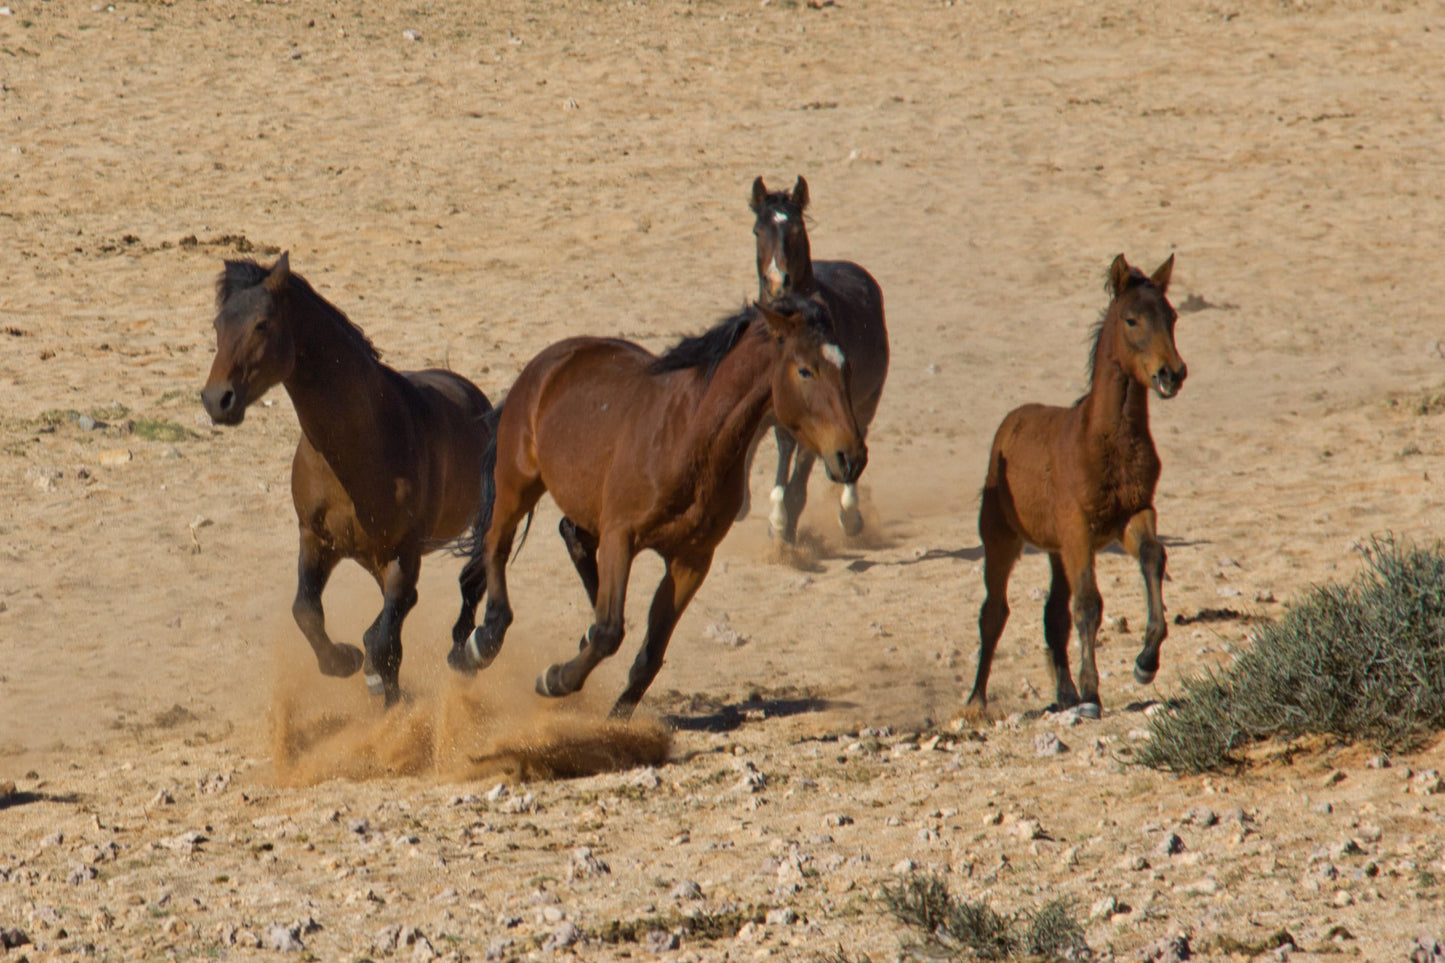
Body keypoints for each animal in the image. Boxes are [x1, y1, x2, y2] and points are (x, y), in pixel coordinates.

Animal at [197, 253, 494, 705]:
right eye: (218, 325)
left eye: (262, 324)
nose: (217, 400)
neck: (356, 450)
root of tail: (474, 395)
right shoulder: (316, 538)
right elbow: (306, 611)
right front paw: (343, 661)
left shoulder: (402, 552)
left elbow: (385, 642)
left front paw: (384, 691)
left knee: (469, 584)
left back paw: (463, 657)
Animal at [445, 296, 861, 717]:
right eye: (805, 370)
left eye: (846, 367)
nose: (851, 457)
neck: (690, 440)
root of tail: (546, 362)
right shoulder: (621, 536)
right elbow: (610, 632)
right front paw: (554, 679)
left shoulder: (692, 560)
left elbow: (649, 653)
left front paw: (616, 719)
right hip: (518, 481)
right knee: (496, 545)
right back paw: (480, 643)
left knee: (570, 535)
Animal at [739, 176, 884, 543]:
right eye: (757, 230)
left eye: (795, 230)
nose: (777, 281)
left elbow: (800, 480)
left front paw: (785, 531)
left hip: (865, 404)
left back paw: (849, 515)